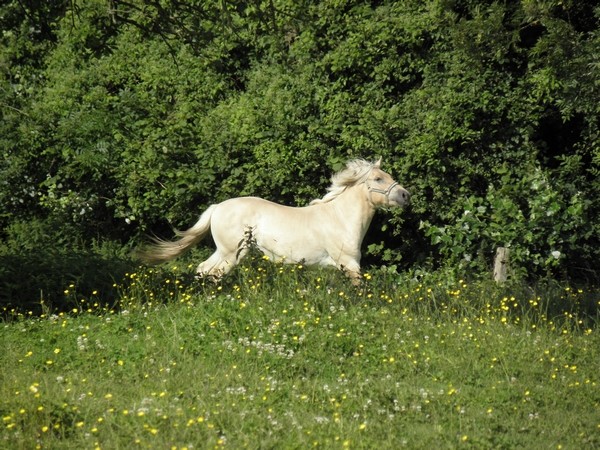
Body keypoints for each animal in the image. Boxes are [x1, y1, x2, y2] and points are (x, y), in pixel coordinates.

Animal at [137, 158, 408, 284]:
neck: (339, 218)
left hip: (224, 251)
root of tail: (217, 208)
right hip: (231, 253)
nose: (406, 195)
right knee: (213, 273)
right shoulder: (349, 264)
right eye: (378, 179)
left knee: (204, 269)